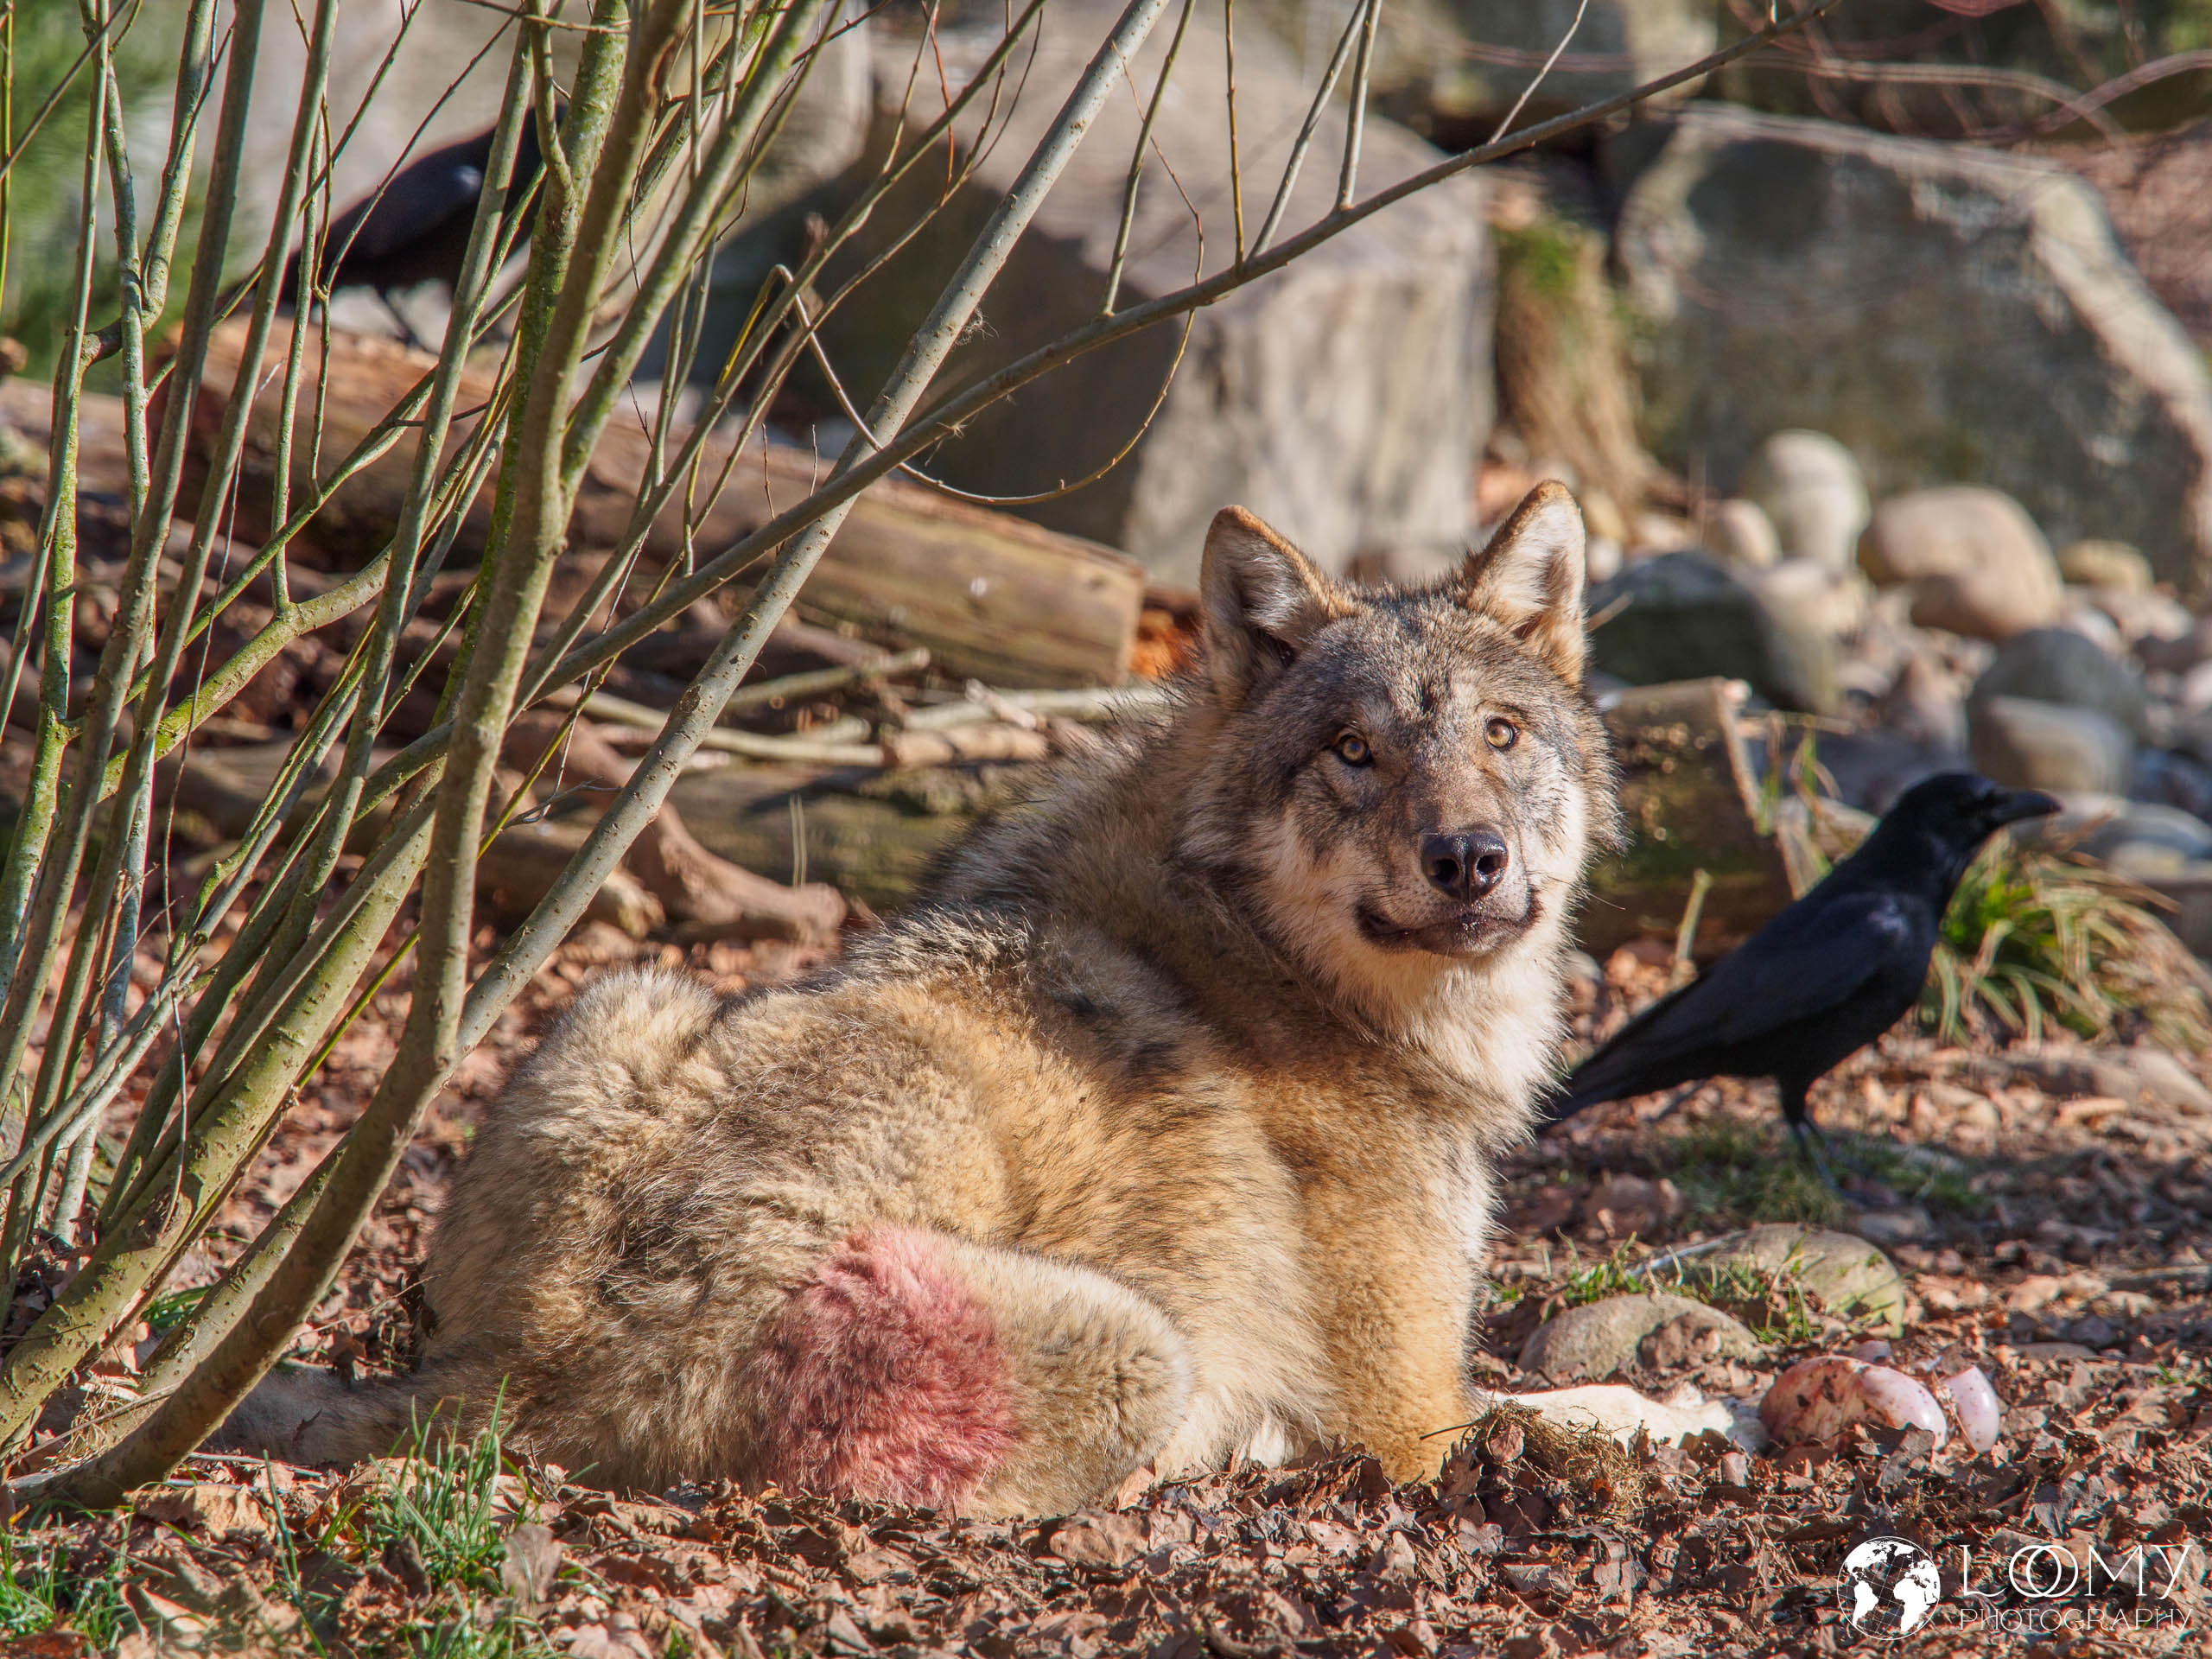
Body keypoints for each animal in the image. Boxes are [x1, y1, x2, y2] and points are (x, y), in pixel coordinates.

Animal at [219, 483, 1729, 1513]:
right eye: (1355, 751)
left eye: (1501, 734)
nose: (1469, 859)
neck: (1272, 959)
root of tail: (513, 1363)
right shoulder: (1418, 1418)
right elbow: (1583, 1405)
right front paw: (1705, 1416)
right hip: (1133, 1349)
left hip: (628, 1000)